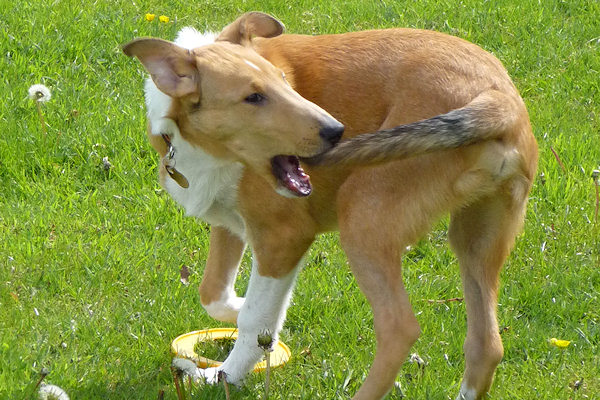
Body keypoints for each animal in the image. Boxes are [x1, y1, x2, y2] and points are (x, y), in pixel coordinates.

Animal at [123, 12, 540, 400]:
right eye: (253, 97)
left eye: (284, 80)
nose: (336, 132)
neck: (201, 145)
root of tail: (498, 98)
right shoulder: (229, 224)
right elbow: (213, 291)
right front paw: (248, 323)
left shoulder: (282, 237)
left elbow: (255, 317)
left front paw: (227, 373)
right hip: (477, 236)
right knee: (486, 344)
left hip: (363, 218)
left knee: (400, 327)